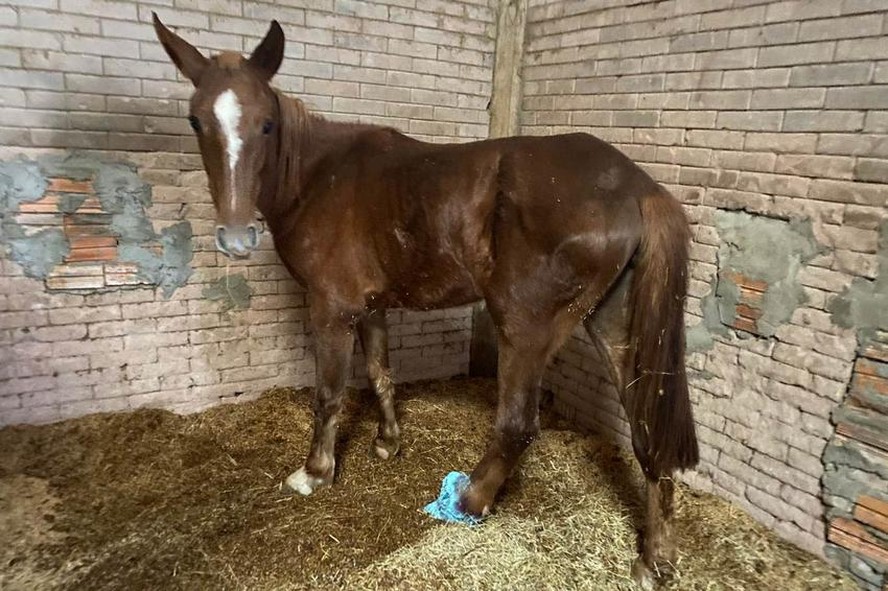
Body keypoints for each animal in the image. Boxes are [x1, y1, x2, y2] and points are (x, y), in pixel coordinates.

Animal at [153, 16, 696, 588]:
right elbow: (380, 372)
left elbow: (328, 394)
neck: (317, 176)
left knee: (517, 426)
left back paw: (468, 501)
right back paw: (654, 558)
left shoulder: (331, 308)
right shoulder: (370, 306)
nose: (235, 238)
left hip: (525, 330)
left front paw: (315, 473)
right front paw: (388, 442)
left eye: (266, 125)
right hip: (611, 323)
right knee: (647, 427)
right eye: (196, 120)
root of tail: (637, 186)